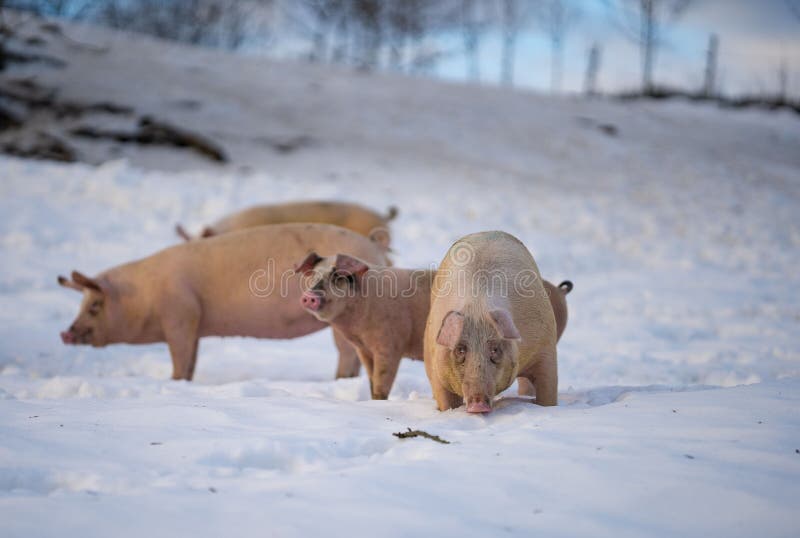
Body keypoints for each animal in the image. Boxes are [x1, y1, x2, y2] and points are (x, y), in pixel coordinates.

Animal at [58, 223, 389, 381]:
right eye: (81, 303)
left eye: (95, 305)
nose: (65, 333)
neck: (143, 297)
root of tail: (375, 248)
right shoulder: (195, 325)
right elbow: (191, 361)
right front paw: (184, 382)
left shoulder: (180, 315)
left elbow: (179, 358)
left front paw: (173, 380)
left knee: (346, 354)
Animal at [294, 252, 434, 400]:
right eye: (315, 274)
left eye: (338, 276)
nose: (310, 295)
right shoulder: (364, 350)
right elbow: (371, 380)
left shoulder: (390, 346)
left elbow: (381, 384)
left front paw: (379, 400)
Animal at [424, 231, 558, 413]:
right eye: (460, 349)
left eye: (495, 349)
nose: (478, 404)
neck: (478, 307)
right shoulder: (436, 360)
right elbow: (445, 399)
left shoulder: (546, 346)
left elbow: (548, 391)